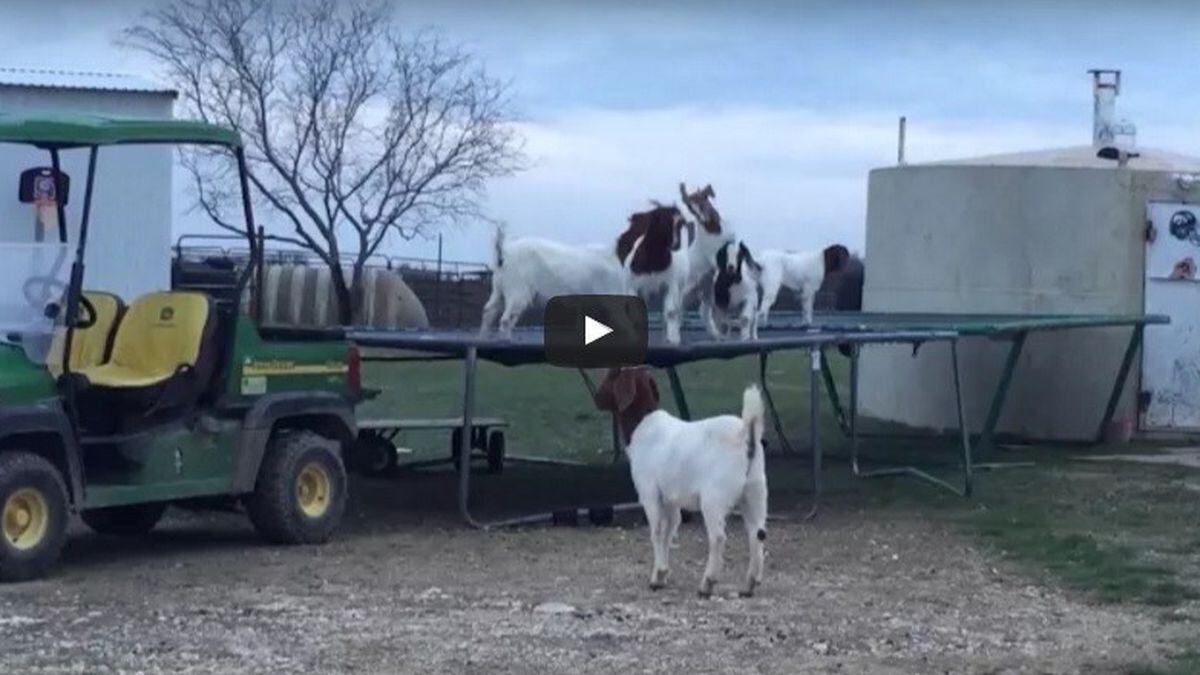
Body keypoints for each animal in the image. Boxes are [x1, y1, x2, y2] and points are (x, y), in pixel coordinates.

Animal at [480, 227, 630, 337]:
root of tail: (504, 254)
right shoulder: (612, 298)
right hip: (517, 289)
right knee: (505, 319)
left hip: (499, 288)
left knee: (490, 310)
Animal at [594, 367, 768, 598]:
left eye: (613, 373)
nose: (597, 398)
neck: (644, 427)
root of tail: (746, 435)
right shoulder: (670, 499)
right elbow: (669, 530)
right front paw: (663, 575)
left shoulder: (650, 493)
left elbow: (657, 531)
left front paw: (656, 577)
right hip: (755, 493)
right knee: (757, 534)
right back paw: (749, 584)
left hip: (714, 498)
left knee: (718, 537)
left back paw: (707, 583)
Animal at [618, 204, 692, 345]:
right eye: (662, 222)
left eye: (680, 224)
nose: (676, 245)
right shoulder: (633, 287)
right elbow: (636, 313)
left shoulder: (671, 285)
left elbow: (671, 312)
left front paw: (673, 338)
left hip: (681, 288)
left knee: (674, 311)